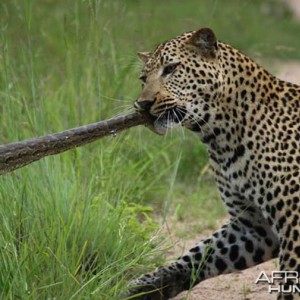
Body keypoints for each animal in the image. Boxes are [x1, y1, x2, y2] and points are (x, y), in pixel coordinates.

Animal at [123, 28, 298, 300]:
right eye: (143, 79)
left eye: (170, 69)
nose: (142, 104)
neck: (221, 138)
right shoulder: (254, 227)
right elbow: (198, 255)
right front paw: (143, 287)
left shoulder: (293, 223)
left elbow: (291, 282)